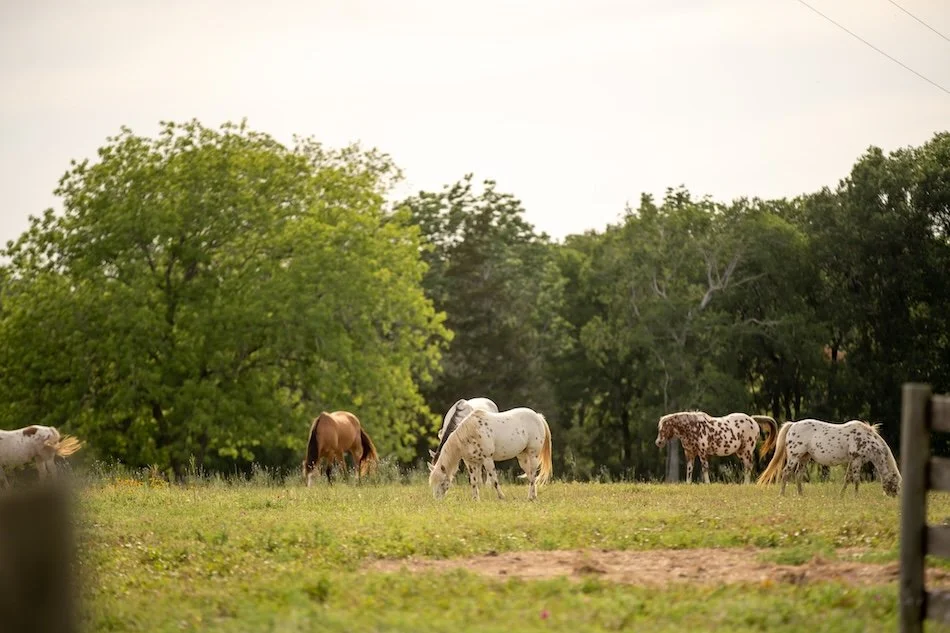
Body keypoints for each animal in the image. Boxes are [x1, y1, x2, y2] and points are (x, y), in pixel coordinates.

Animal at [756, 419, 901, 496]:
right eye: (896, 484)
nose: (893, 496)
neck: (867, 439)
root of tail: (793, 425)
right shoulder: (857, 459)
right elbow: (856, 480)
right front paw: (855, 496)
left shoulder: (852, 461)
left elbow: (847, 478)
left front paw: (841, 496)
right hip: (794, 457)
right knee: (786, 473)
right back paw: (782, 495)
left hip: (804, 458)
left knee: (798, 475)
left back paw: (801, 495)